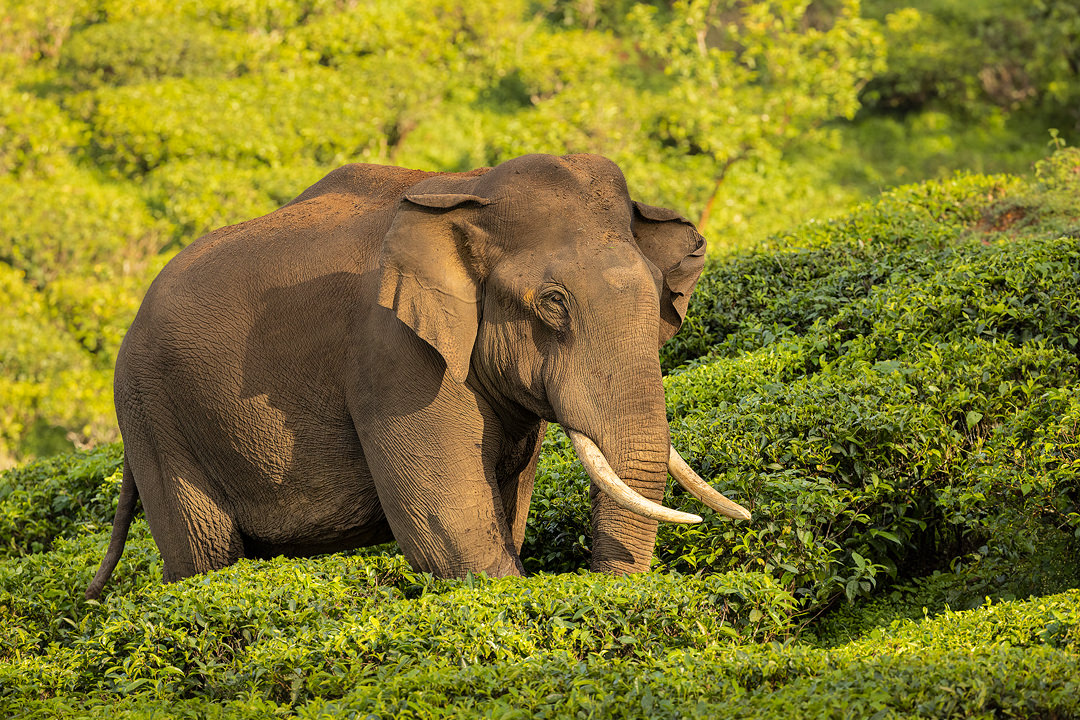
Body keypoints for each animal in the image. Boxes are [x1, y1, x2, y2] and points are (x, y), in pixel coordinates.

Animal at [86, 153, 751, 604]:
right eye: (553, 304)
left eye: (655, 295)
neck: (471, 188)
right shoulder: (391, 353)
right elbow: (449, 522)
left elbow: (507, 504)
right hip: (152, 414)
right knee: (202, 555)